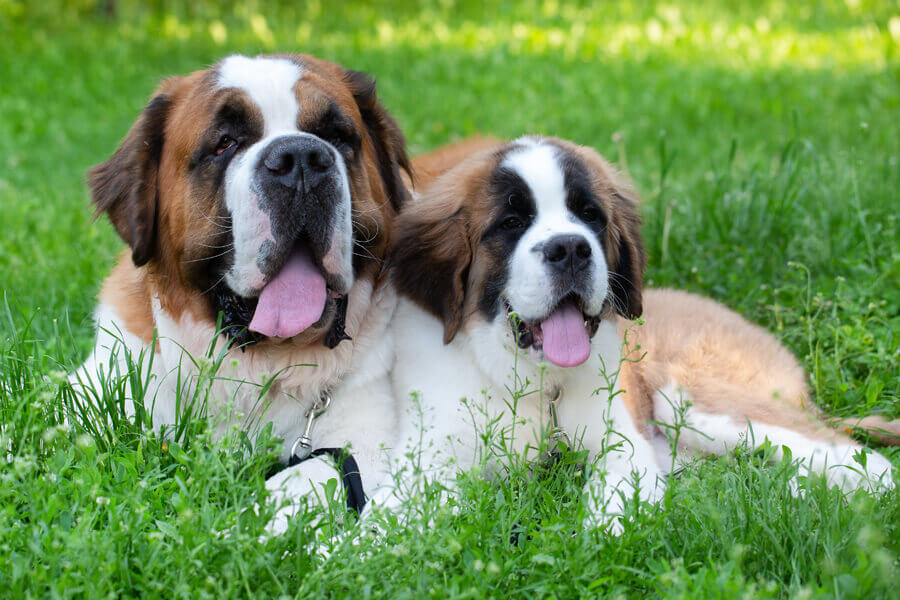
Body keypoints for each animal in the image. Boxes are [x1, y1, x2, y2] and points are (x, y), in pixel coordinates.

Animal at [376, 136, 896, 528]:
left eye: (589, 215)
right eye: (511, 222)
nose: (570, 249)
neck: (535, 385)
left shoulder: (625, 446)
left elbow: (612, 505)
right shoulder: (428, 458)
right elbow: (388, 513)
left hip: (688, 397)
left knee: (858, 457)